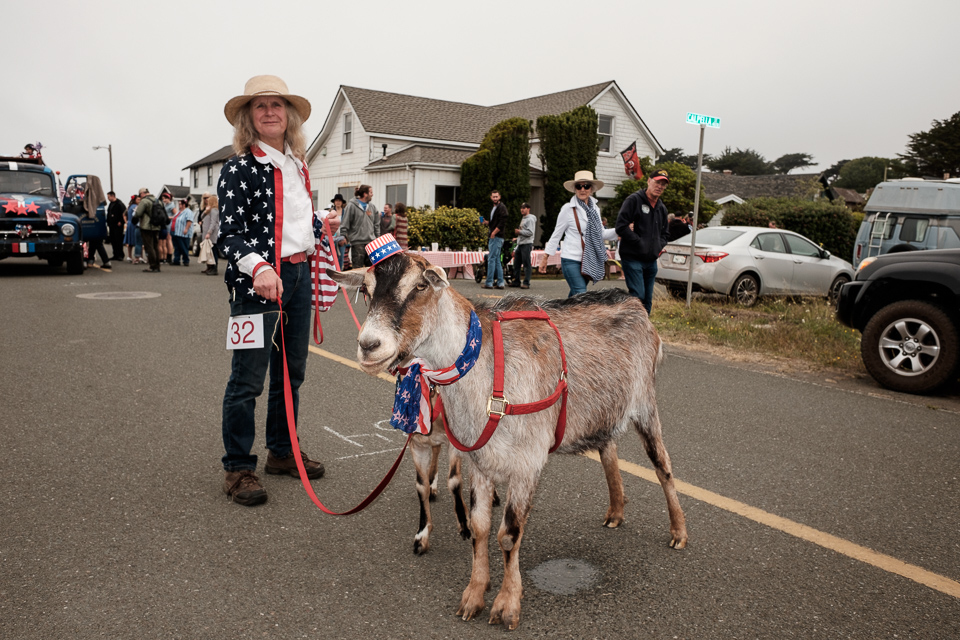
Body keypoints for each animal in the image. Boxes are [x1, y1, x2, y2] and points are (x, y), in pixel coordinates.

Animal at [328, 254, 684, 632]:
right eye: (366, 290)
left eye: (420, 285)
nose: (369, 345)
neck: (487, 369)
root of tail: (635, 304)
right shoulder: (479, 461)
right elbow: (480, 527)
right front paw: (473, 595)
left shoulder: (527, 462)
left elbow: (509, 534)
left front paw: (507, 605)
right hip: (602, 409)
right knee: (608, 449)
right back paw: (616, 511)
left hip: (645, 403)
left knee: (662, 464)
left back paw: (678, 531)